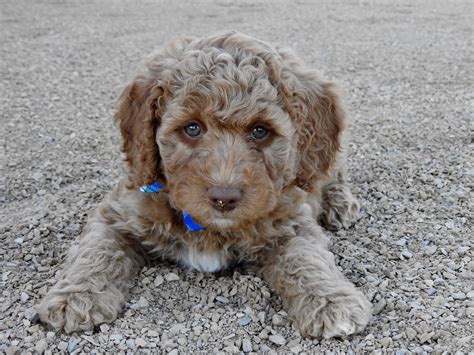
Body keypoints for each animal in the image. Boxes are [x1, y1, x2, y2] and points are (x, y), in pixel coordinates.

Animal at [38, 32, 370, 340]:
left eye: (260, 131)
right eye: (192, 128)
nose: (224, 198)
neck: (206, 225)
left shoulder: (291, 220)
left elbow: (306, 258)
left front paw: (329, 301)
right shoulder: (119, 211)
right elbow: (97, 250)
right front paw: (76, 297)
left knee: (333, 171)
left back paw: (340, 205)